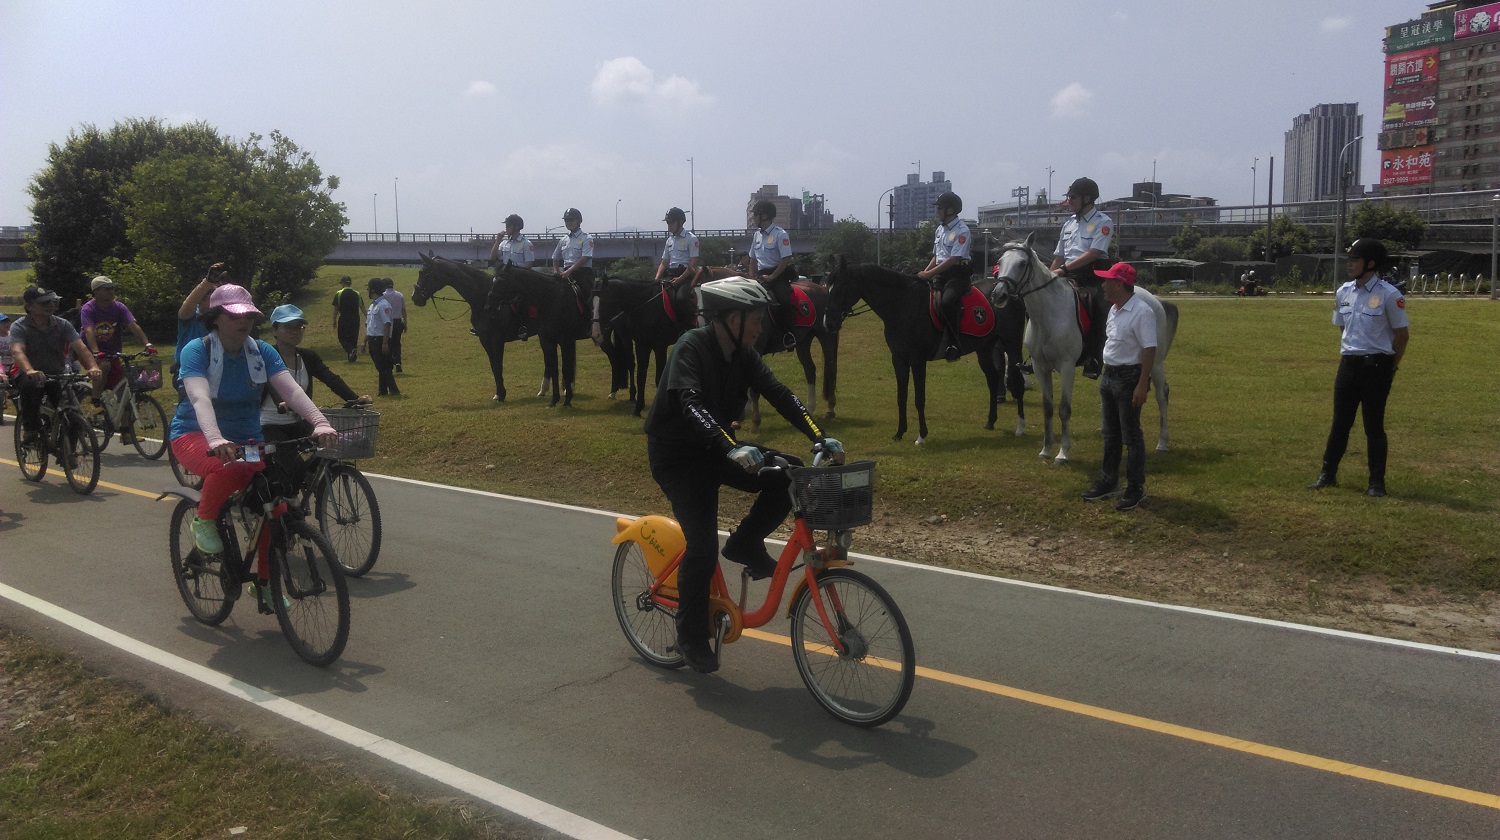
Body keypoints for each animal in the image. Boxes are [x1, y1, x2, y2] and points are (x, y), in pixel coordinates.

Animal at [414, 252, 525, 405]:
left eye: (422, 272)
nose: (415, 298)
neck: (484, 297)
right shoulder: (486, 340)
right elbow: (494, 366)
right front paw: (499, 394)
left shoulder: (495, 340)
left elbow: (497, 366)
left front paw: (501, 394)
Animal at [486, 262, 591, 408]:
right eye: (493, 280)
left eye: (502, 281)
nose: (488, 307)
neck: (551, 299)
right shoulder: (549, 341)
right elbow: (554, 368)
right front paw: (554, 400)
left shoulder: (566, 341)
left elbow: (566, 369)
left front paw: (567, 401)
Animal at [828, 258, 1026, 447]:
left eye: (840, 288)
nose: (829, 322)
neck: (903, 305)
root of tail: (1008, 293)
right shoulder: (898, 359)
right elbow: (901, 397)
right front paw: (899, 433)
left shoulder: (917, 361)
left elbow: (919, 399)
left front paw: (921, 436)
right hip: (984, 348)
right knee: (992, 379)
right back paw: (990, 422)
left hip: (1012, 345)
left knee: (1018, 381)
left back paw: (1020, 427)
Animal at [1002, 232, 1176, 462]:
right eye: (999, 262)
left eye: (1022, 264)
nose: (998, 294)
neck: (1049, 314)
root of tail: (1153, 299)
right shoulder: (1040, 367)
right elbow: (1047, 408)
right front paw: (1046, 449)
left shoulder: (1066, 366)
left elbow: (1064, 408)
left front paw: (1063, 452)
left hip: (1154, 362)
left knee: (1162, 394)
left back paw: (1162, 442)